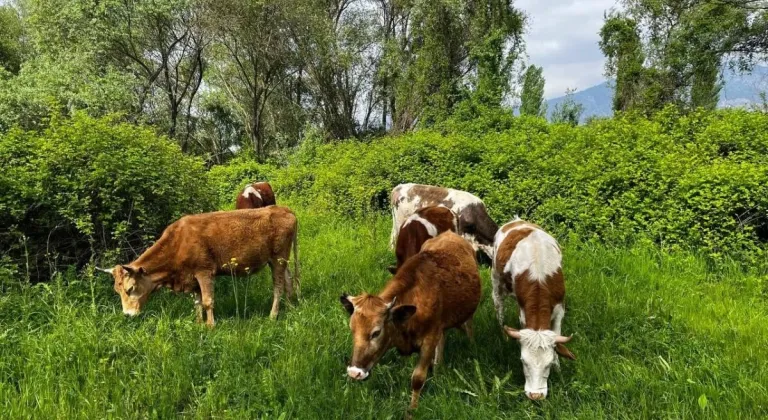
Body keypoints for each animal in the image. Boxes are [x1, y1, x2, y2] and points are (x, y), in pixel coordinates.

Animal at [97, 206, 300, 324]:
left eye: (131, 288)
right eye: (117, 290)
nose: (127, 314)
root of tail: (283, 209)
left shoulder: (204, 272)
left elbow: (208, 301)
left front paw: (210, 326)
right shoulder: (191, 276)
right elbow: (197, 302)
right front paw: (199, 324)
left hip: (278, 258)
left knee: (278, 286)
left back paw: (273, 316)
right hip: (280, 260)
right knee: (288, 280)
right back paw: (291, 307)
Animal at [342, 231, 480, 416]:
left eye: (376, 332)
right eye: (352, 330)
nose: (354, 372)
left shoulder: (429, 338)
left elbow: (417, 378)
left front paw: (412, 410)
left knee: (469, 326)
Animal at [492, 220, 576, 400]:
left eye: (548, 364)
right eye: (523, 361)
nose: (535, 395)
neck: (539, 278)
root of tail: (517, 221)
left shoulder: (559, 309)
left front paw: (558, 367)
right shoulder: (523, 312)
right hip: (496, 279)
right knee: (499, 307)